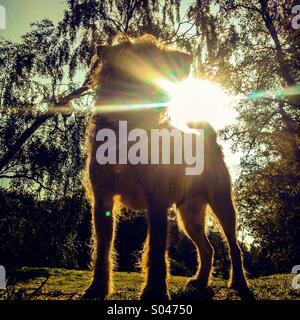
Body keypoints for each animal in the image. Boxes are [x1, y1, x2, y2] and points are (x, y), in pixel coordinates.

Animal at [82, 34, 251, 300]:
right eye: (155, 54)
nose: (189, 57)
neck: (129, 128)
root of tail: (208, 137)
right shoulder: (103, 200)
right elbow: (102, 247)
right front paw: (97, 287)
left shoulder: (157, 200)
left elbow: (156, 248)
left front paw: (155, 291)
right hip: (190, 214)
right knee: (208, 248)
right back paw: (200, 281)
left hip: (222, 204)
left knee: (233, 246)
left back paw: (239, 282)